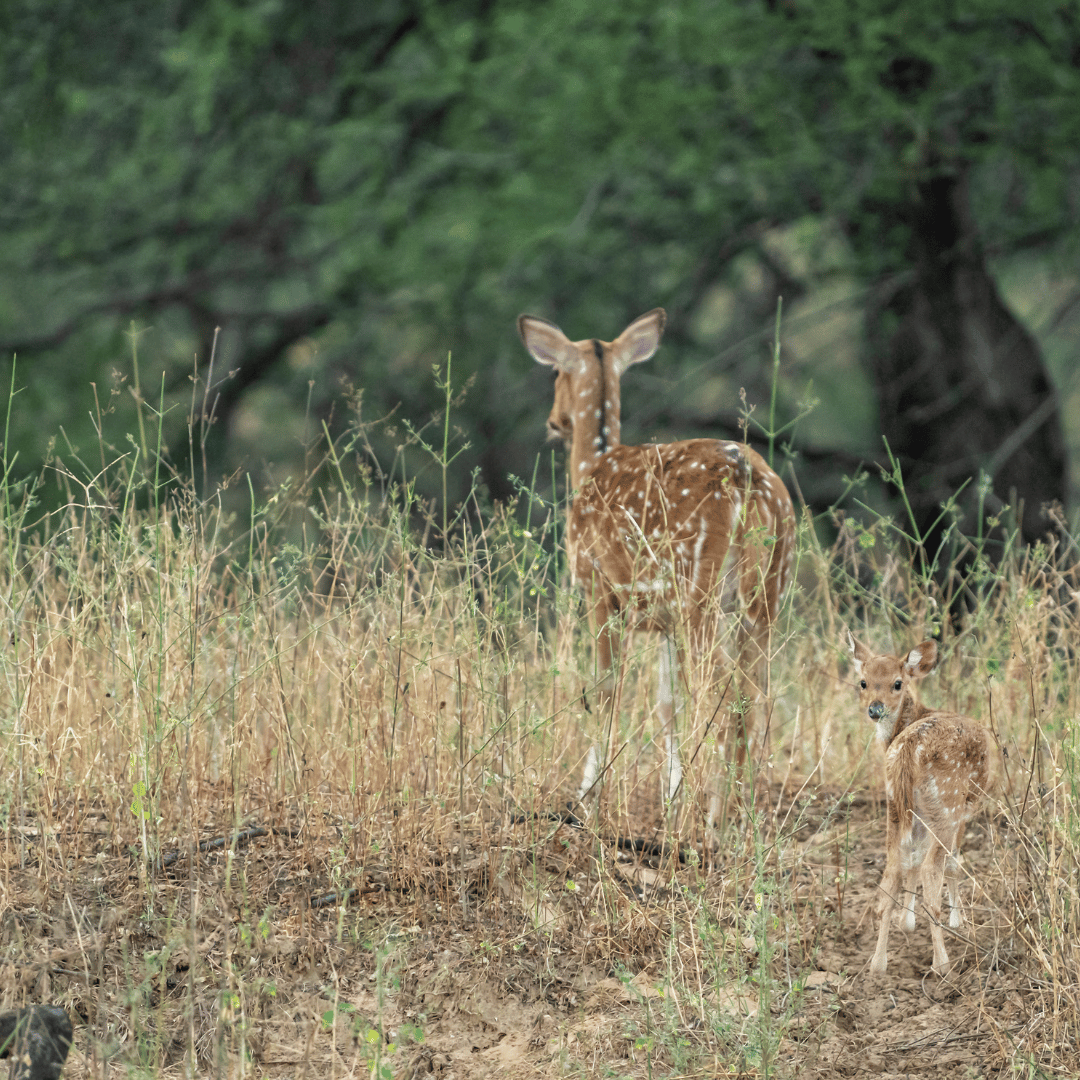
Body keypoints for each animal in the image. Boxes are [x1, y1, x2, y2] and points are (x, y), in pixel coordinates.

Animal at [518, 308, 799, 829]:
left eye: (554, 372)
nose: (553, 421)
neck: (591, 465)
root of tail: (748, 479)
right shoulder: (661, 619)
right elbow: (666, 704)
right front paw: (670, 794)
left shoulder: (598, 587)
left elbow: (605, 689)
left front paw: (587, 799)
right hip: (767, 592)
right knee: (758, 697)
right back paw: (743, 811)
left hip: (700, 590)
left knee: (724, 696)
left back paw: (711, 820)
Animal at [846, 630, 997, 980]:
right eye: (863, 681)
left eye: (897, 683)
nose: (874, 709)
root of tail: (907, 747)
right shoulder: (963, 812)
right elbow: (953, 862)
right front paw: (958, 920)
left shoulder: (914, 815)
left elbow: (909, 862)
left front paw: (907, 922)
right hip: (946, 801)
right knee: (933, 867)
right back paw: (942, 965)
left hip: (895, 805)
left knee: (891, 871)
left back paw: (878, 965)